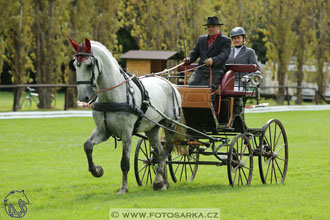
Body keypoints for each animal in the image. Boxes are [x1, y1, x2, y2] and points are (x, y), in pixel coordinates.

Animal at [69, 38, 182, 194]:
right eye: (74, 65)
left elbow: (124, 162)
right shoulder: (103, 131)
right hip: (152, 128)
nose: (83, 97)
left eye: (89, 65)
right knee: (159, 151)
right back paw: (162, 182)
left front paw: (123, 188)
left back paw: (158, 177)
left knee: (167, 149)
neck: (112, 96)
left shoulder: (126, 133)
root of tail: (169, 83)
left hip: (170, 124)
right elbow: (88, 146)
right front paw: (97, 170)